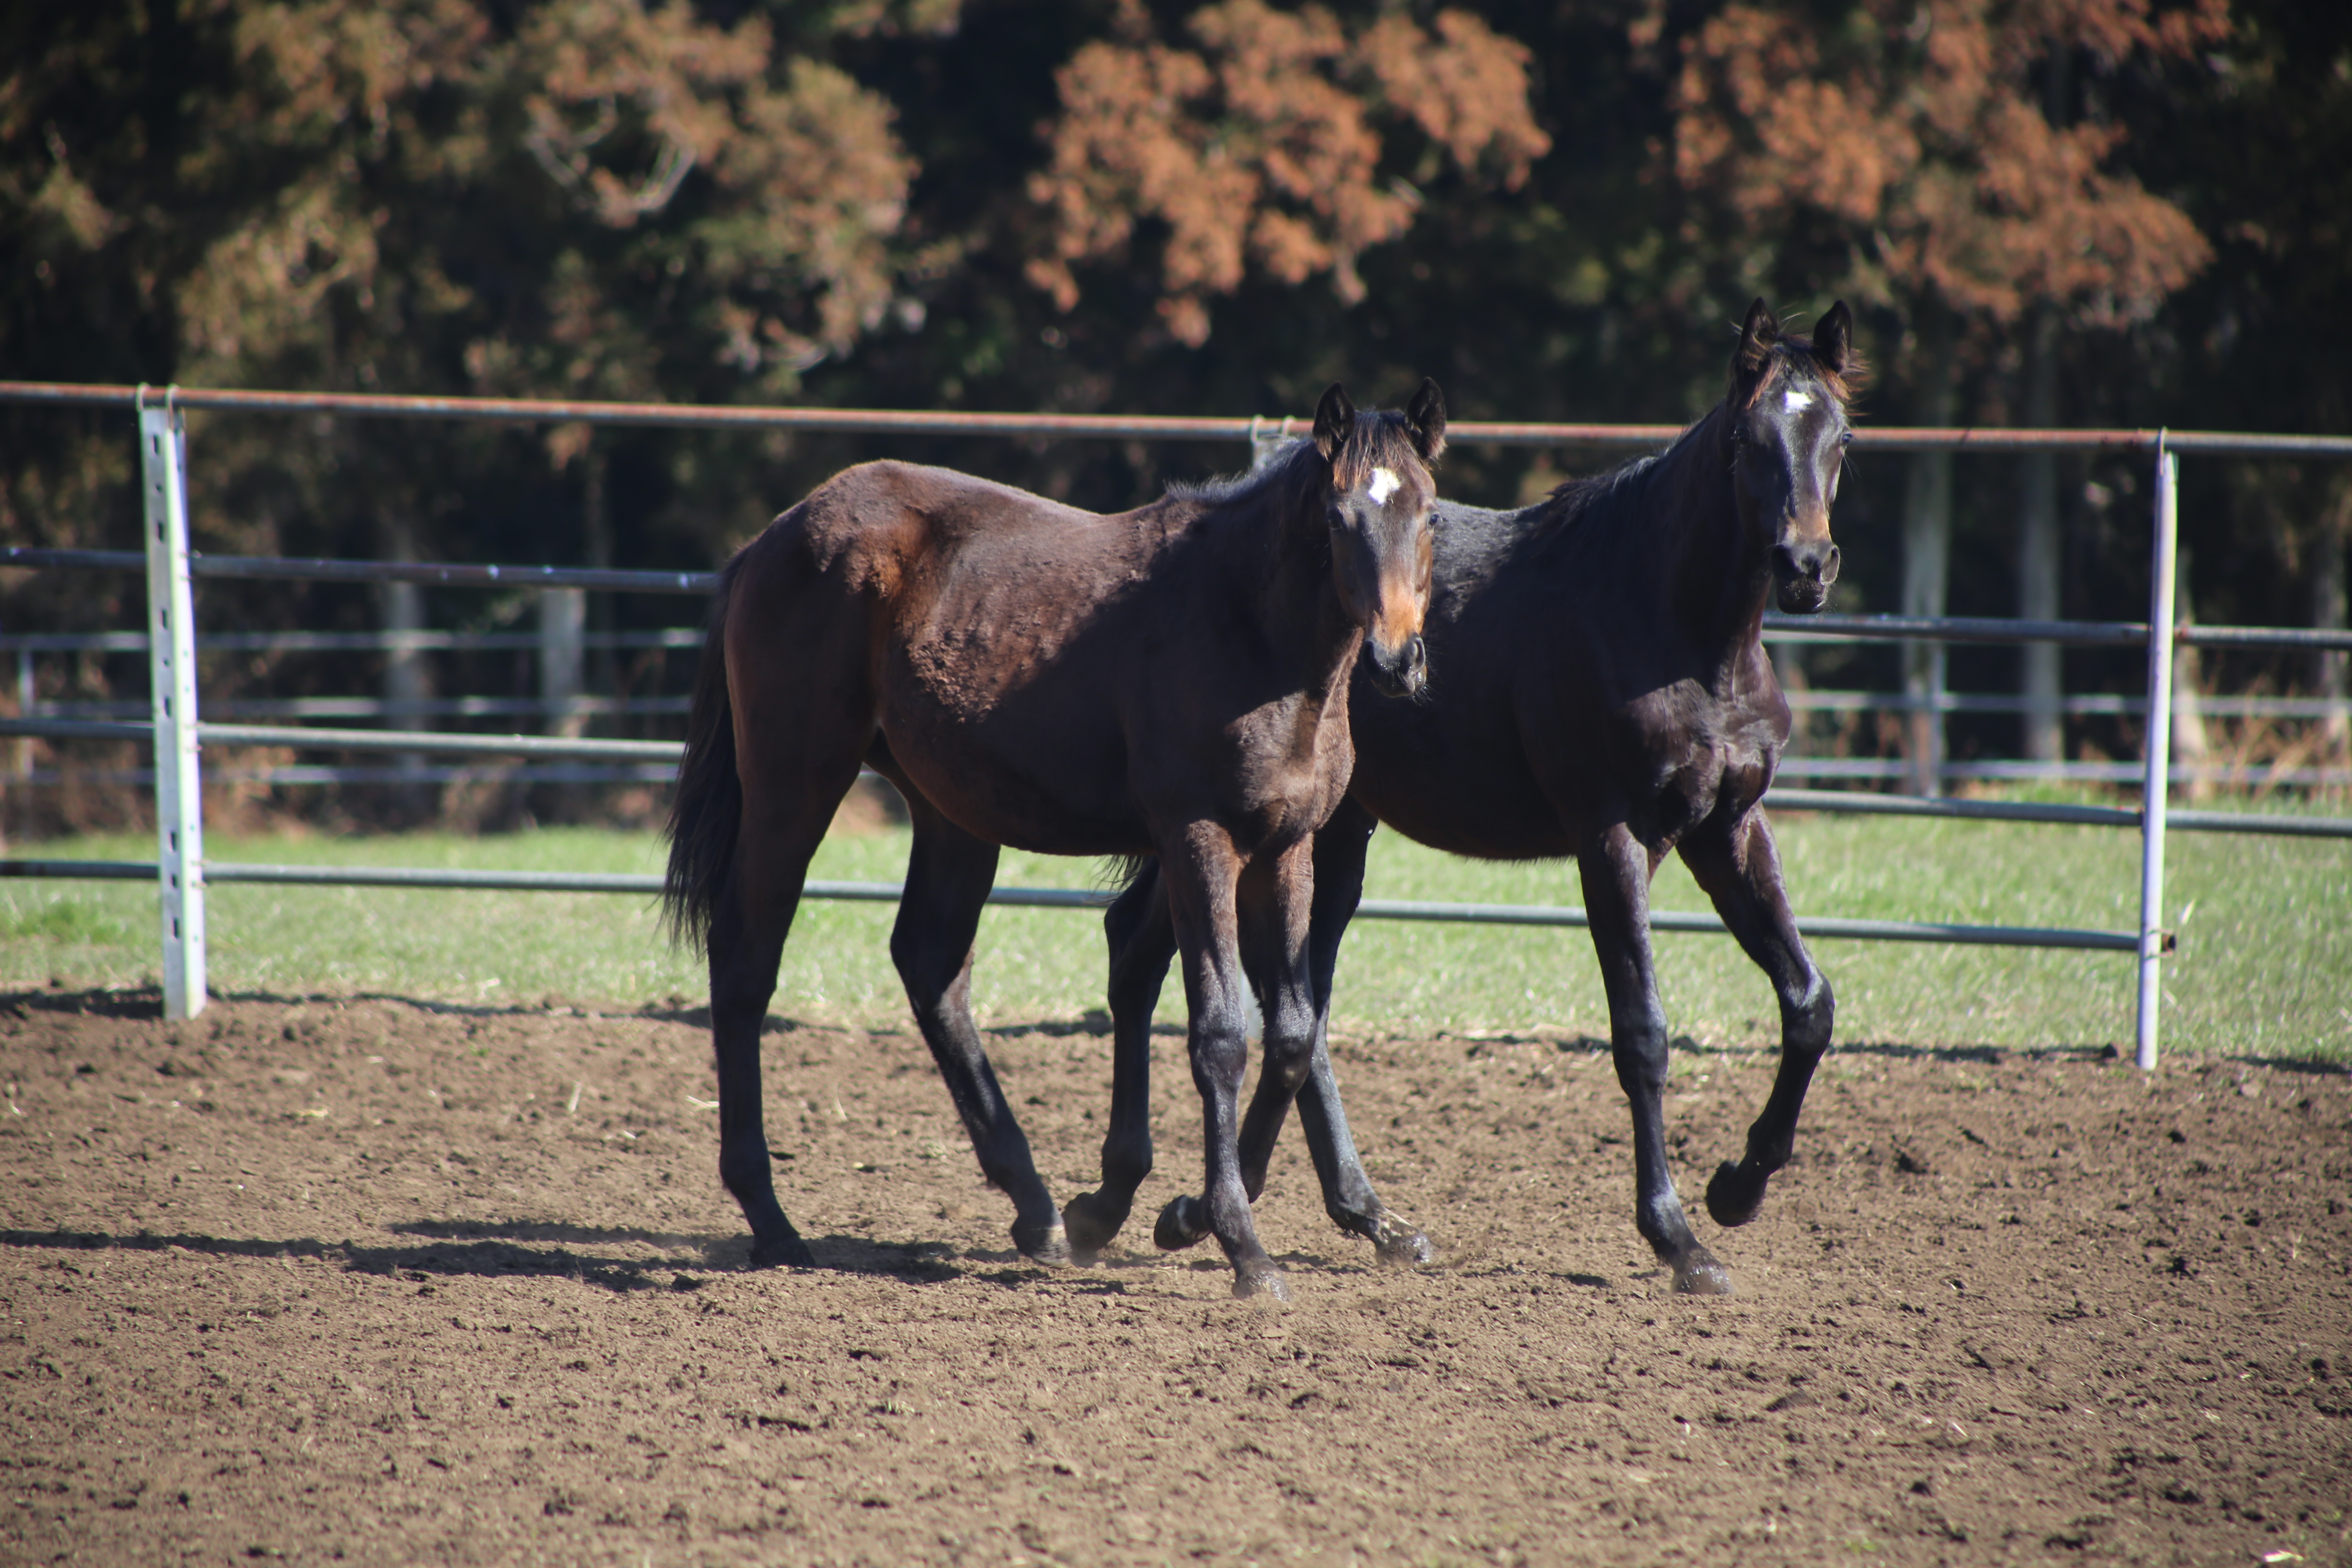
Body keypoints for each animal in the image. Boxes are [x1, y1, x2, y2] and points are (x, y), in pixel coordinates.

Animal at [663, 381, 1449, 1297]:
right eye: (1336, 517)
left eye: (1430, 515)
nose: (1399, 660)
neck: (1250, 632)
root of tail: (770, 541)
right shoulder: (1199, 841)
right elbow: (1220, 1034)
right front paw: (1241, 1248)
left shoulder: (1286, 850)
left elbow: (1291, 1033)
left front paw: (1180, 1215)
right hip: (793, 790)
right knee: (746, 965)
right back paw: (773, 1220)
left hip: (952, 814)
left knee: (931, 964)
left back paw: (1037, 1208)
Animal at [1068, 301, 1853, 1297]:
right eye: (1750, 440)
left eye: (1841, 436)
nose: (1806, 565)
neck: (1673, 623)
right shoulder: (1614, 838)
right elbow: (1642, 1033)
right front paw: (1679, 1237)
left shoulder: (1729, 832)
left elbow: (1808, 1005)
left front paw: (1738, 1187)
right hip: (1253, 835)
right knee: (1169, 962)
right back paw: (1151, 1205)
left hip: (1326, 836)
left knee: (1275, 998)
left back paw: (1321, 1216)